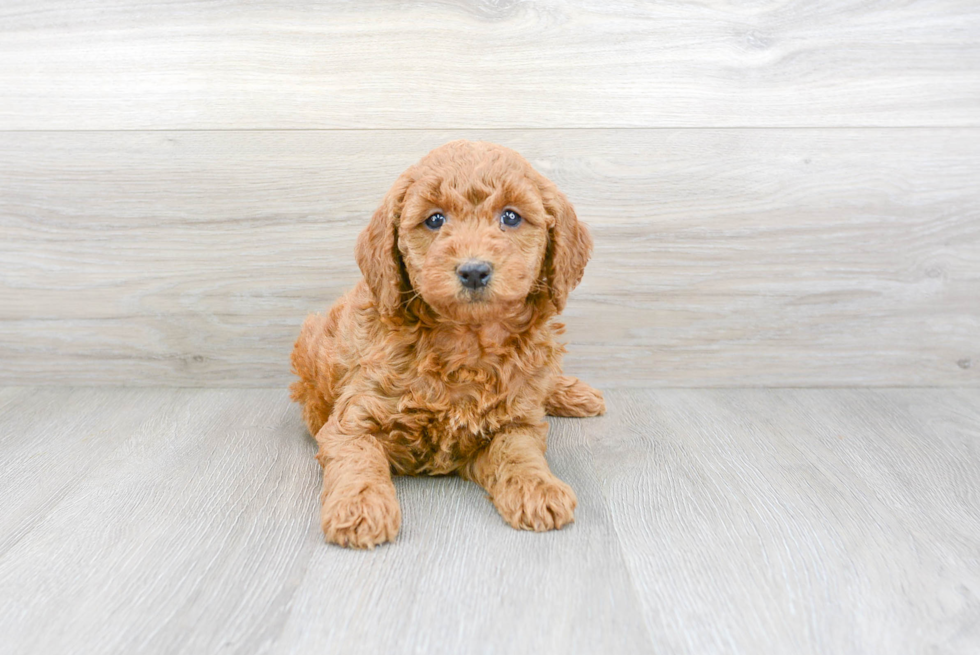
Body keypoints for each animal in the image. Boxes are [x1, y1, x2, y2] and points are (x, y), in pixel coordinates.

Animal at [288, 140, 600, 548]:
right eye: (435, 220)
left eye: (511, 217)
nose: (474, 271)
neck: (466, 341)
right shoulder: (353, 419)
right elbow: (358, 457)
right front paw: (360, 507)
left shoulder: (515, 420)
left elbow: (518, 452)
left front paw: (538, 488)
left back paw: (576, 393)